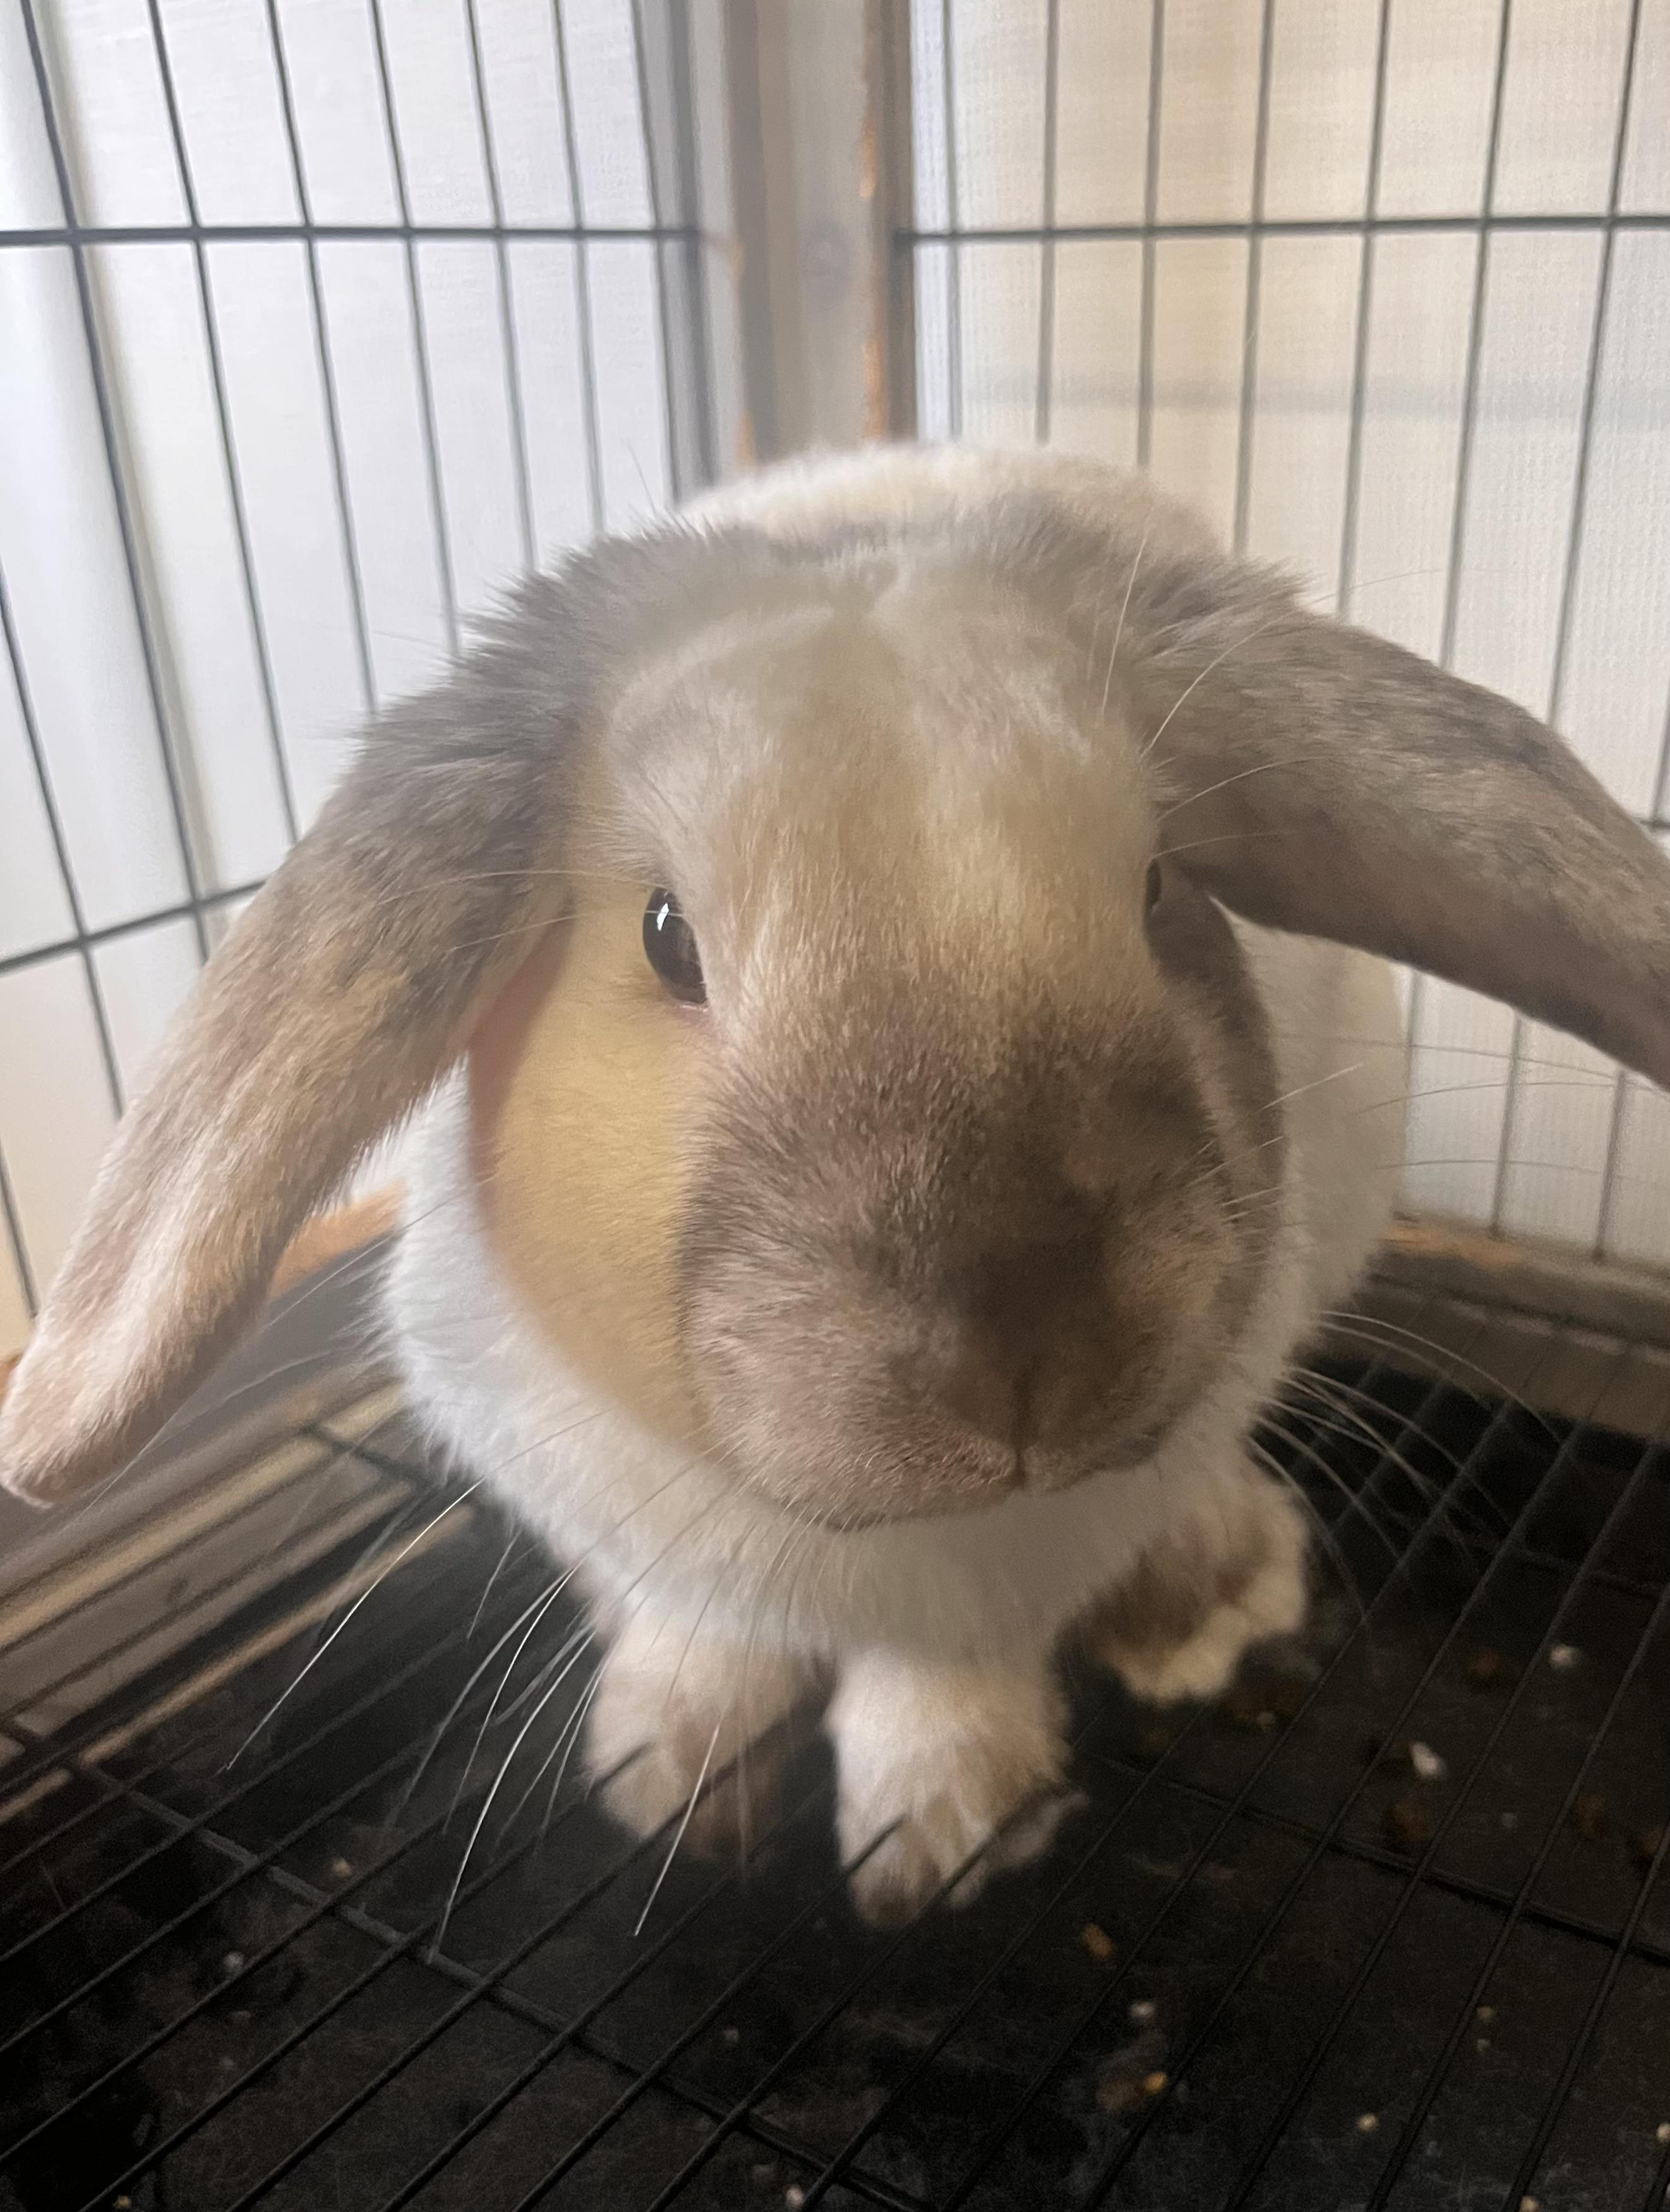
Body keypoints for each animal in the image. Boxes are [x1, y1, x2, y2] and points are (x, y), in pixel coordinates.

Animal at [7, 443, 1670, 1925]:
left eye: (1155, 889)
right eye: (666, 935)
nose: (1025, 1361)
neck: (857, 1533)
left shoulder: (1002, 1582)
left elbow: (943, 1683)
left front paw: (936, 1837)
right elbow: (698, 1643)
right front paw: (669, 1775)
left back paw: (1206, 1591)